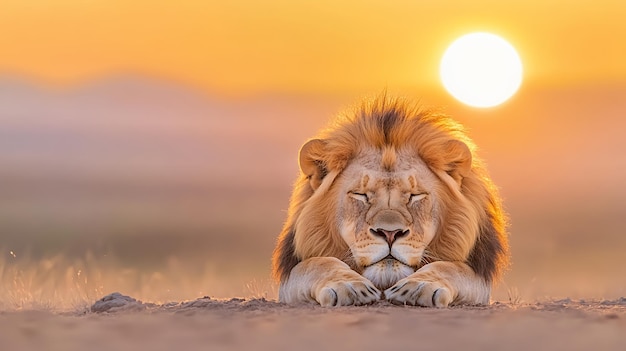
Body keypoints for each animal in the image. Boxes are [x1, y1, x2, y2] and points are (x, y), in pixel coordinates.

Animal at [272, 96, 508, 308]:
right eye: (361, 195)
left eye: (414, 195)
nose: (390, 233)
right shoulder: (289, 280)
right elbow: (318, 263)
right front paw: (349, 286)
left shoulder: (479, 279)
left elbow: (451, 267)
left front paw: (419, 286)